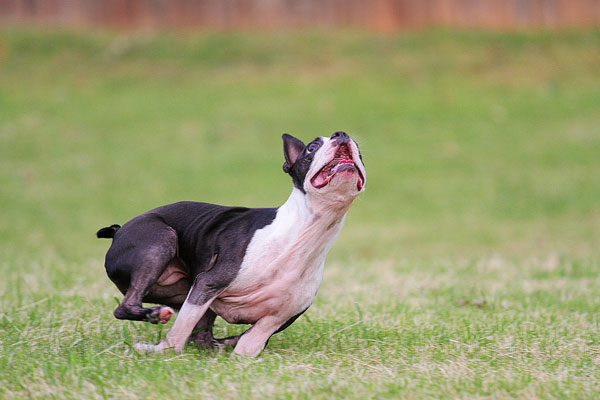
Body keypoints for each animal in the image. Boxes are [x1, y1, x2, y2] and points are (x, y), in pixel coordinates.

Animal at [98, 131, 366, 356]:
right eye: (311, 147)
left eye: (360, 149)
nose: (341, 134)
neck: (305, 233)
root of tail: (118, 231)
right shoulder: (206, 284)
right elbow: (178, 335)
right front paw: (167, 350)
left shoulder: (280, 317)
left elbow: (249, 343)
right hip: (160, 241)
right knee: (126, 306)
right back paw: (155, 322)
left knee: (204, 339)